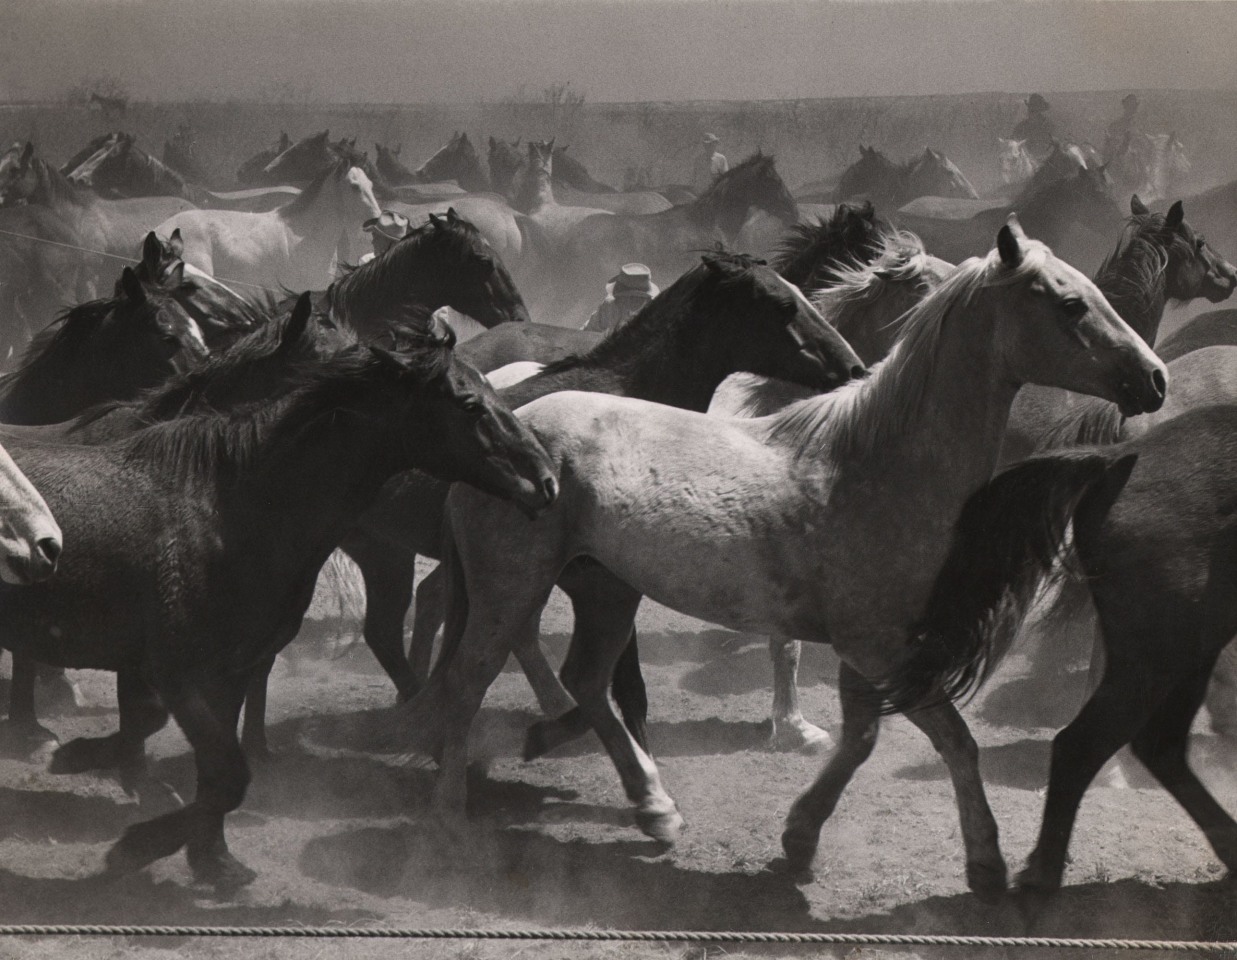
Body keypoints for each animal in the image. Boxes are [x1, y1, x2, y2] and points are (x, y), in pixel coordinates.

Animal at [0, 314, 557, 889]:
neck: (231, 509)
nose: (546, 479)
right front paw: (135, 840)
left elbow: (217, 773)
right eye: (468, 404)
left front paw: (213, 859)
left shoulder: (229, 672)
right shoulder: (177, 673)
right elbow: (220, 770)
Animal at [396, 219, 1166, 902]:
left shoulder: (867, 650)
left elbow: (859, 741)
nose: (1154, 379)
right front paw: (985, 862)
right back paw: (451, 823)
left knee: (585, 682)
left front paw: (799, 839)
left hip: (607, 590)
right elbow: (953, 740)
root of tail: (512, 437)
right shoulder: (877, 646)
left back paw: (654, 808)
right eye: (1068, 302)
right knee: (468, 681)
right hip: (512, 588)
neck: (878, 465)